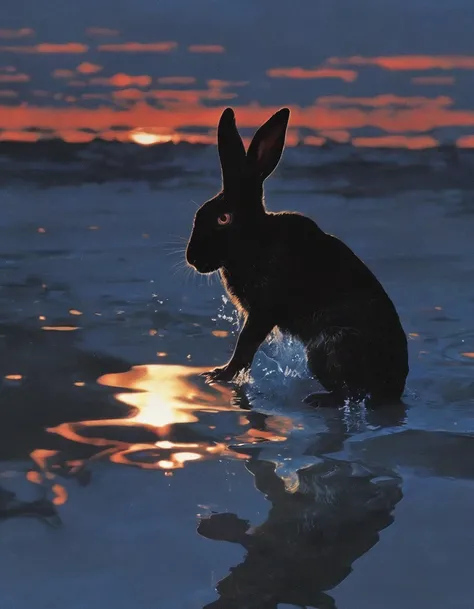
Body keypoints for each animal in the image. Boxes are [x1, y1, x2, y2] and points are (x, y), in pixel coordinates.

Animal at [187, 107, 410, 406]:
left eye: (224, 218)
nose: (192, 258)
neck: (255, 239)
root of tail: (394, 388)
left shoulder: (263, 310)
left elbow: (245, 344)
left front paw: (220, 375)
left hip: (327, 349)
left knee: (348, 392)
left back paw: (316, 400)